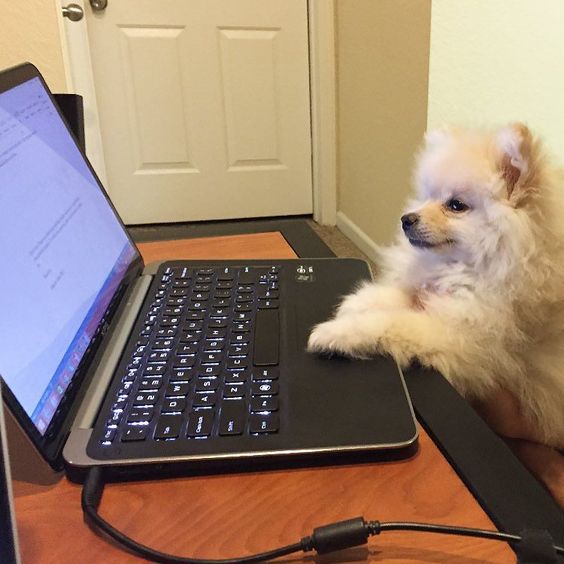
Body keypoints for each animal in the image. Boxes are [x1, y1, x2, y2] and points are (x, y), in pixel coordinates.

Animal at [308, 123, 564, 458]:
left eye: (456, 205)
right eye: (427, 196)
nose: (406, 219)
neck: (467, 267)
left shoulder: (460, 336)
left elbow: (392, 322)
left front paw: (336, 332)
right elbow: (400, 294)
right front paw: (360, 302)